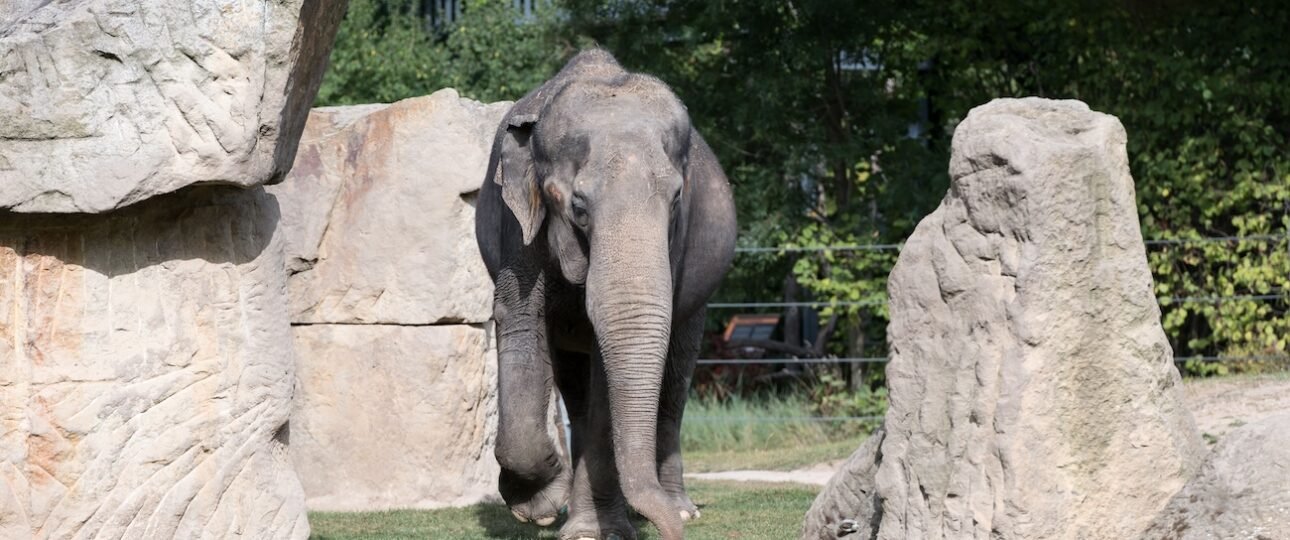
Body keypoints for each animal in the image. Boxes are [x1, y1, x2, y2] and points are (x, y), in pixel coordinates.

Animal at [475, 48, 737, 540]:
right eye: (578, 206)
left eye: (676, 198)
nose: (671, 529)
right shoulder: (516, 223)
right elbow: (519, 319)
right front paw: (540, 507)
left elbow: (607, 372)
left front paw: (597, 531)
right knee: (575, 389)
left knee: (674, 381)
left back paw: (680, 509)